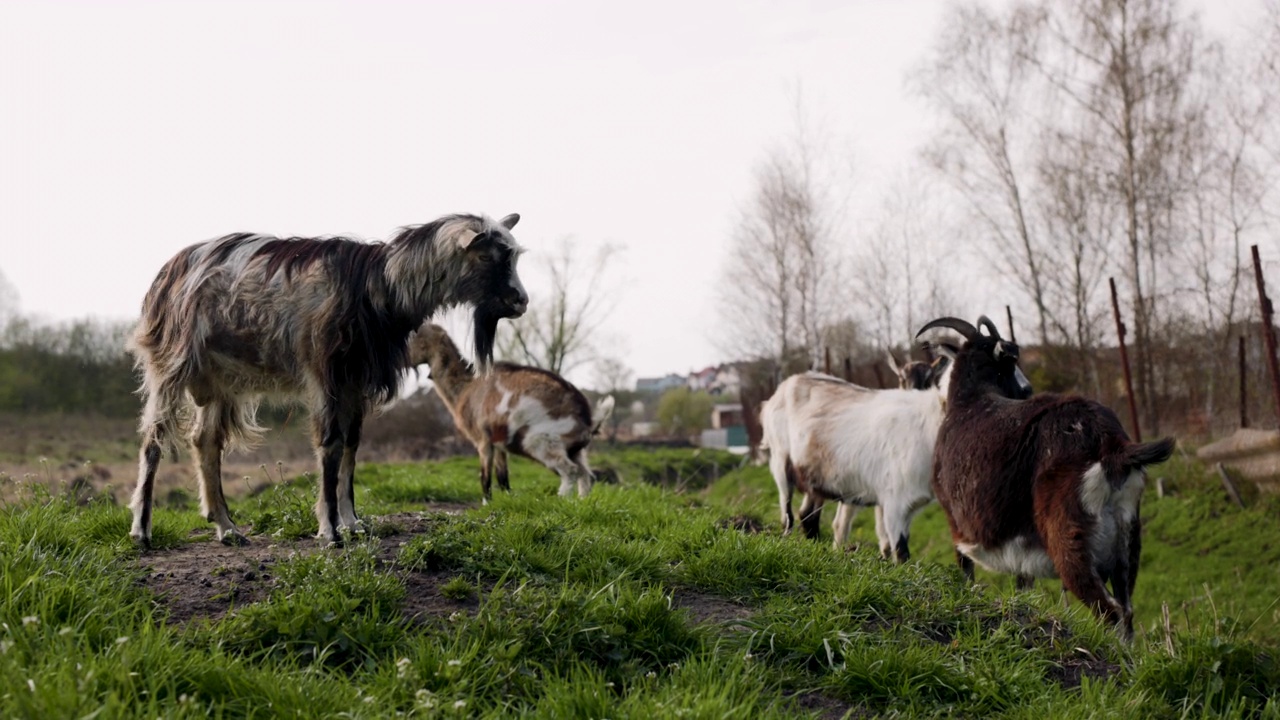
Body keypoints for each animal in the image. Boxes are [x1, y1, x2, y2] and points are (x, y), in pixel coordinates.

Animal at [407, 320, 611, 499]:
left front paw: (486, 505)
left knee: (570, 471)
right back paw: (581, 502)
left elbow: (485, 478)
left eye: (414, 337)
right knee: (586, 475)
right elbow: (503, 478)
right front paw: (506, 501)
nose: (406, 360)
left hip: (540, 441)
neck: (466, 386)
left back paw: (561, 500)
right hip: (576, 451)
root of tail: (588, 418)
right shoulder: (499, 444)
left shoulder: (483, 441)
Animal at [916, 313, 1172, 632]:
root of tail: (1110, 444)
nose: (1027, 390)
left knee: (1109, 611)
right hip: (1128, 541)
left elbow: (966, 572)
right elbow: (1023, 587)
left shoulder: (955, 524)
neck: (970, 402)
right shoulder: (1020, 549)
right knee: (1126, 611)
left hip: (1070, 536)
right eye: (1009, 364)